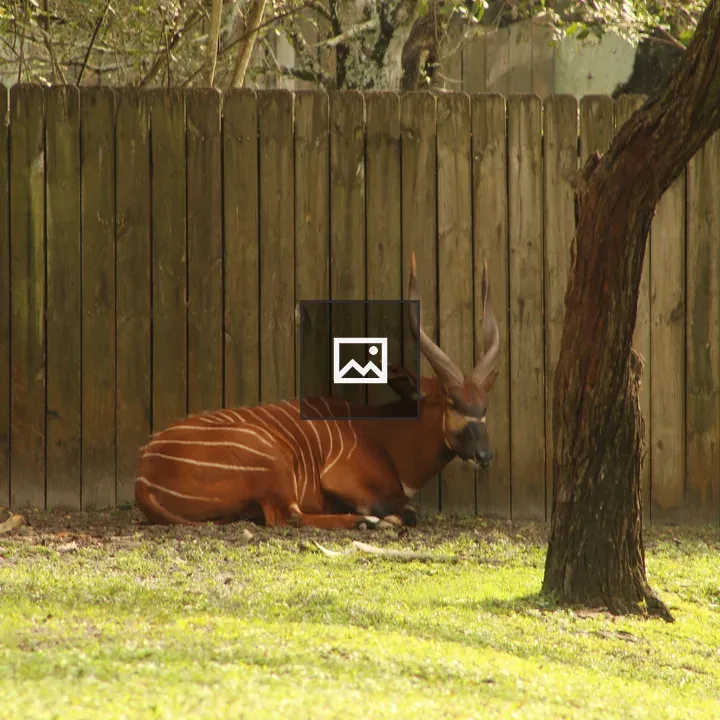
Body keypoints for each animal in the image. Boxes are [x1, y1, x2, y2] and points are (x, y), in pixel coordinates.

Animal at [135, 252, 501, 529]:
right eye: (453, 402)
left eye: (484, 406)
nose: (485, 456)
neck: (383, 433)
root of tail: (143, 479)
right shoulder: (341, 479)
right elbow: (404, 511)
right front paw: (382, 519)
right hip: (273, 464)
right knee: (288, 517)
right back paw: (365, 523)